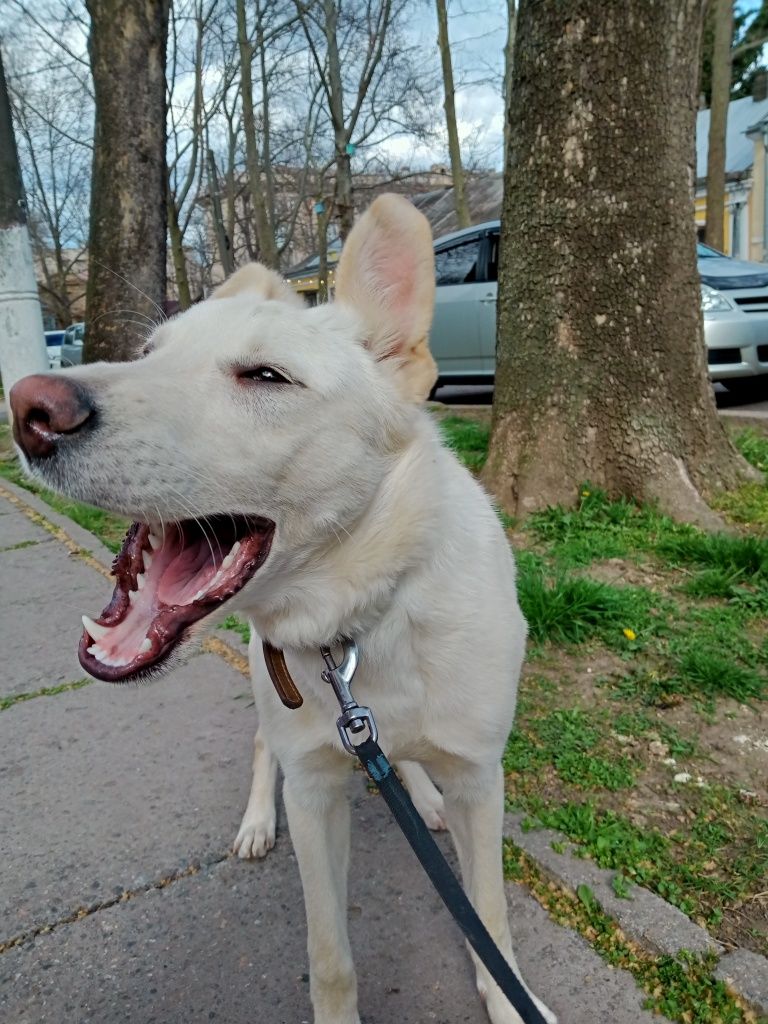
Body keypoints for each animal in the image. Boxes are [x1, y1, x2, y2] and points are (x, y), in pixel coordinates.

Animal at [9, 193, 557, 1024]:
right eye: (147, 352)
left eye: (266, 376)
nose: (29, 409)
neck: (361, 626)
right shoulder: (316, 795)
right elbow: (330, 956)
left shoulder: (478, 779)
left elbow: (489, 918)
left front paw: (508, 996)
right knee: (265, 746)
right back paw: (255, 822)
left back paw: (419, 794)